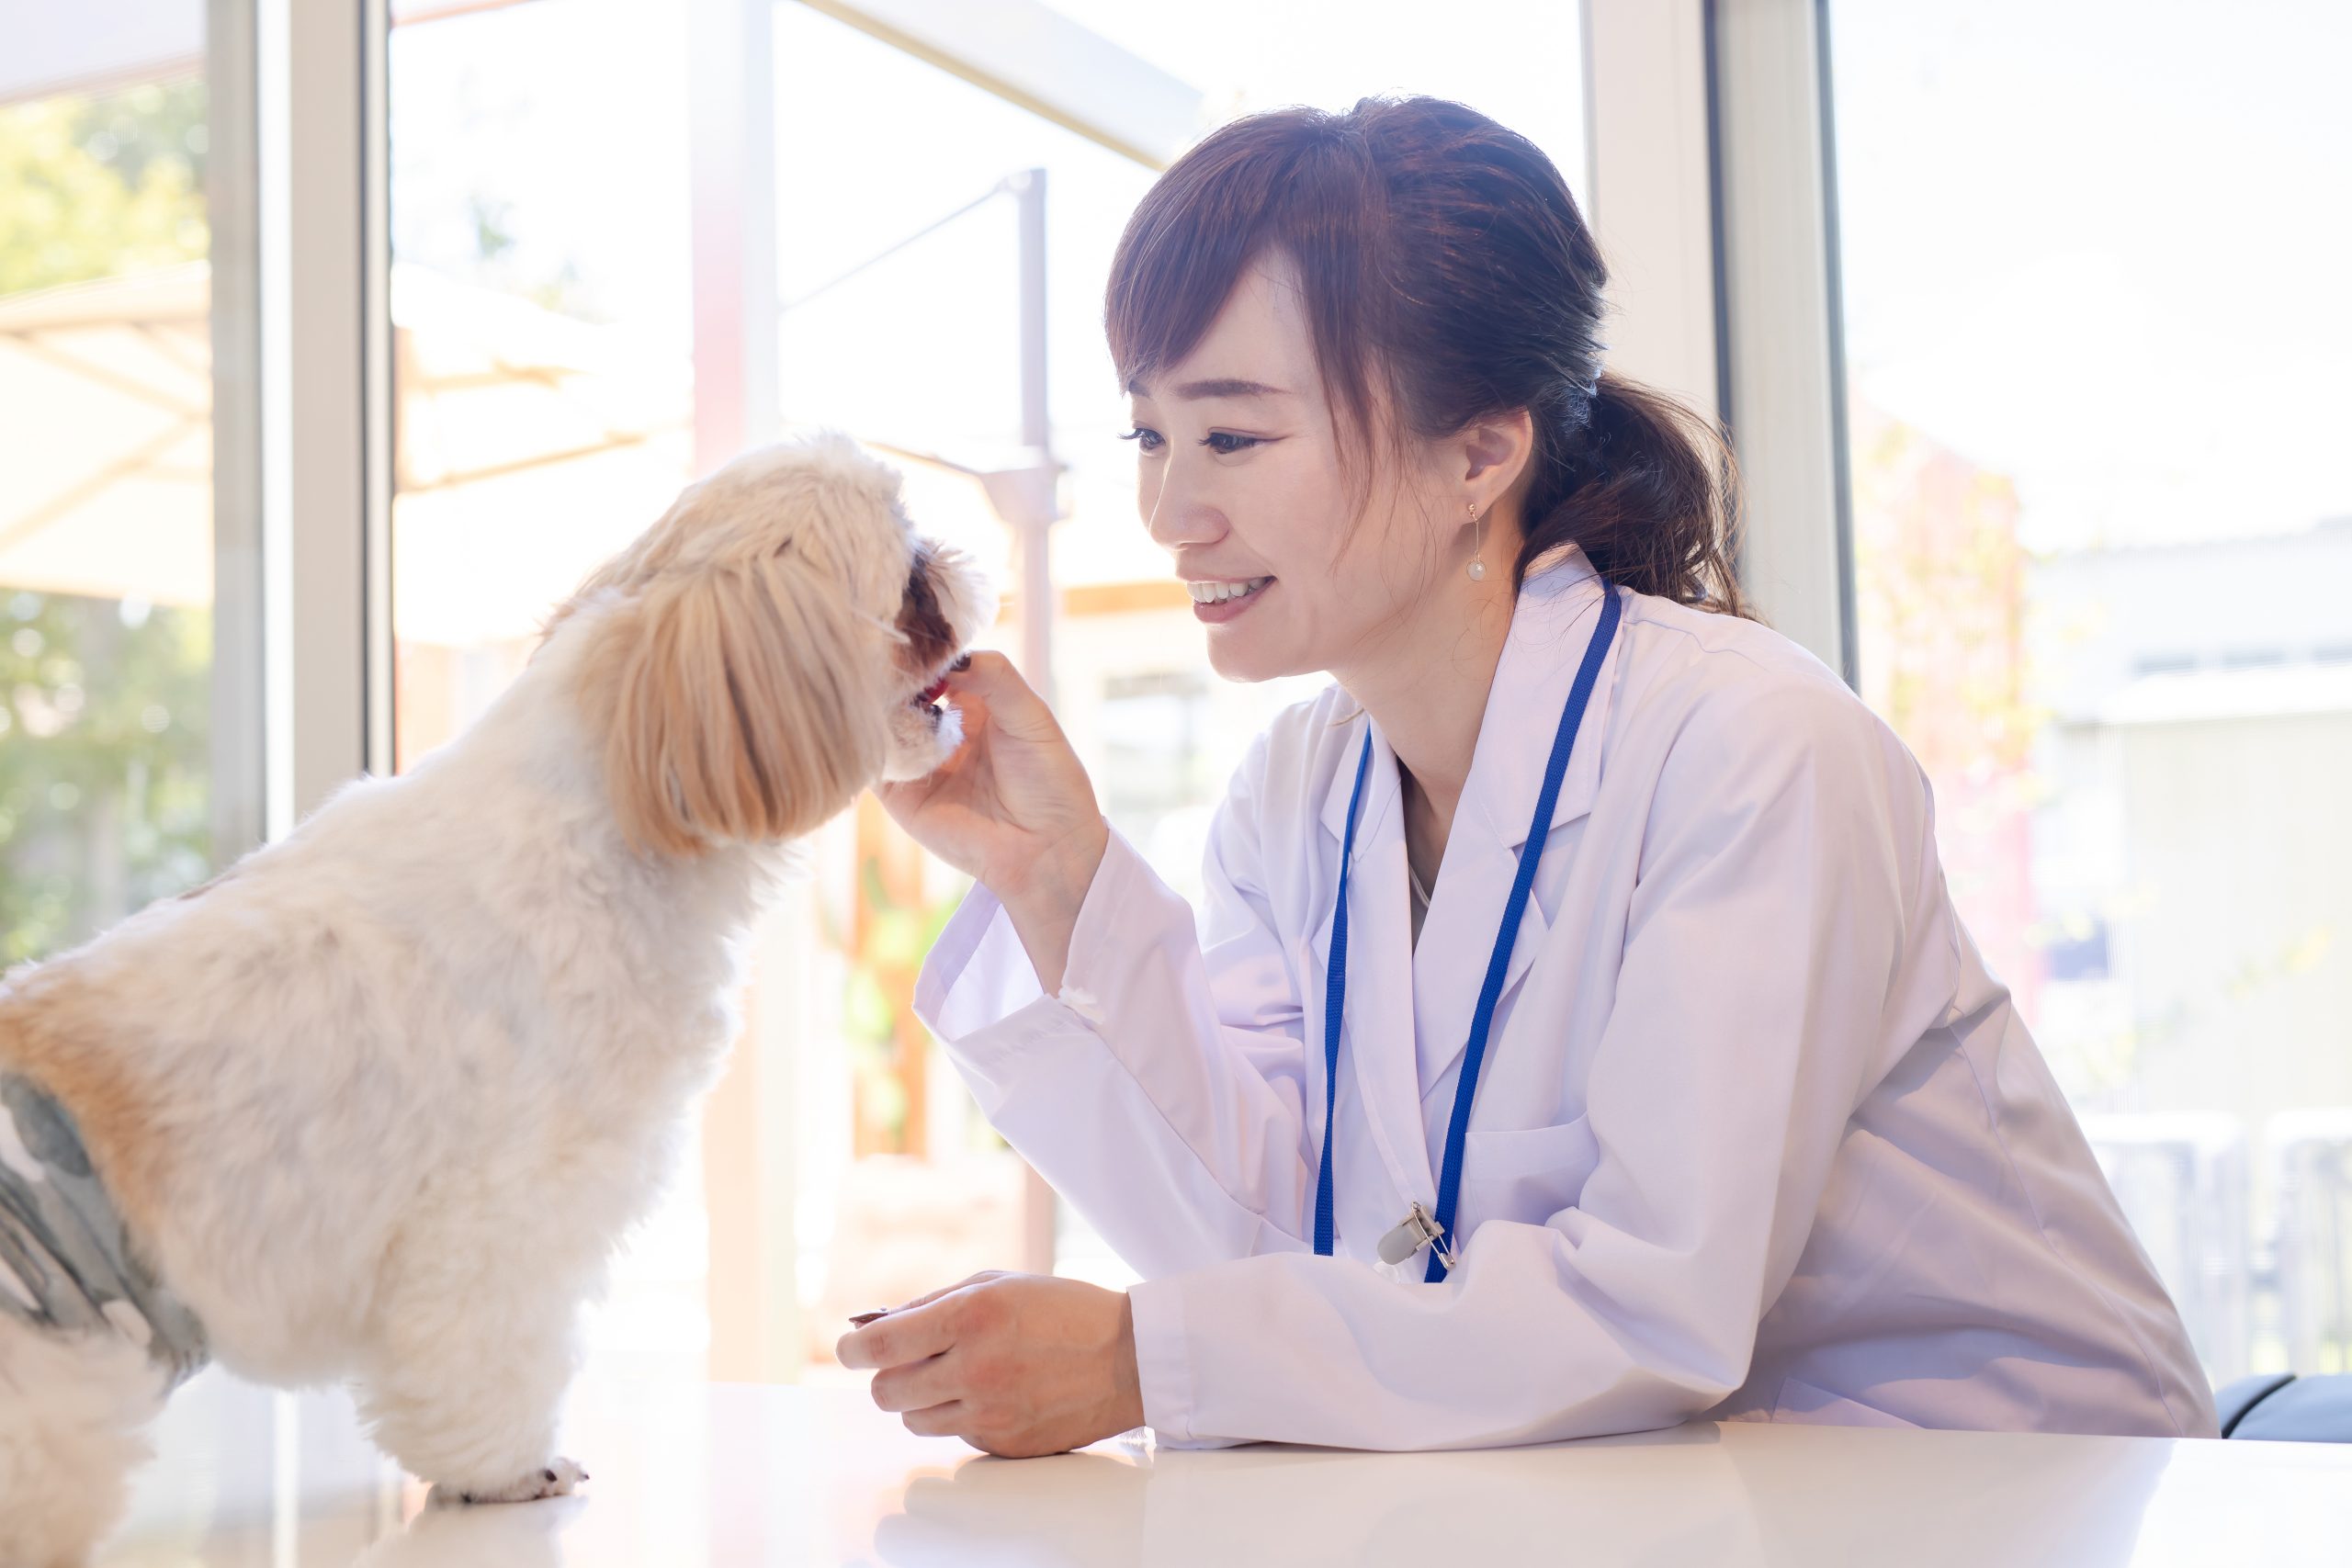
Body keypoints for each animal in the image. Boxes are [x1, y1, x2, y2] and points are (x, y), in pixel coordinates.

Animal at [0, 432, 988, 1568]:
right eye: (911, 572)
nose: (961, 560)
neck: (612, 811)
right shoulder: (506, 1211)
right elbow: (489, 1354)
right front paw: (508, 1470)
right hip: (53, 1370)